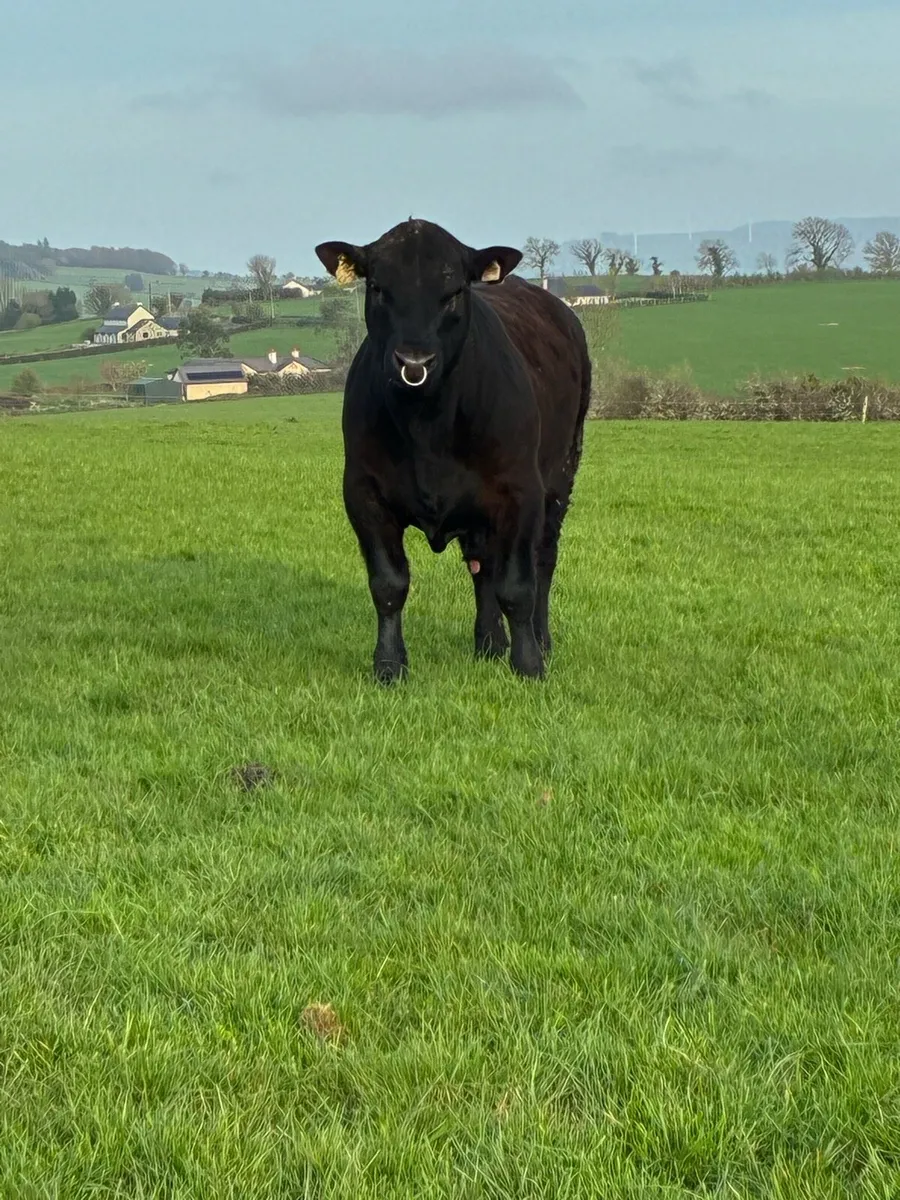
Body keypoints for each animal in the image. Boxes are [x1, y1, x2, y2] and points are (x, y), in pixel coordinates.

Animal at [314, 218, 591, 683]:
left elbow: (518, 586)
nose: (414, 363)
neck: (428, 425)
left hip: (561, 476)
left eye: (454, 291)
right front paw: (389, 666)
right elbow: (388, 584)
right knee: (482, 565)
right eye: (379, 288)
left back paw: (540, 641)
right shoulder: (363, 492)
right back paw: (489, 642)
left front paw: (529, 665)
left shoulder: (522, 491)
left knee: (543, 561)